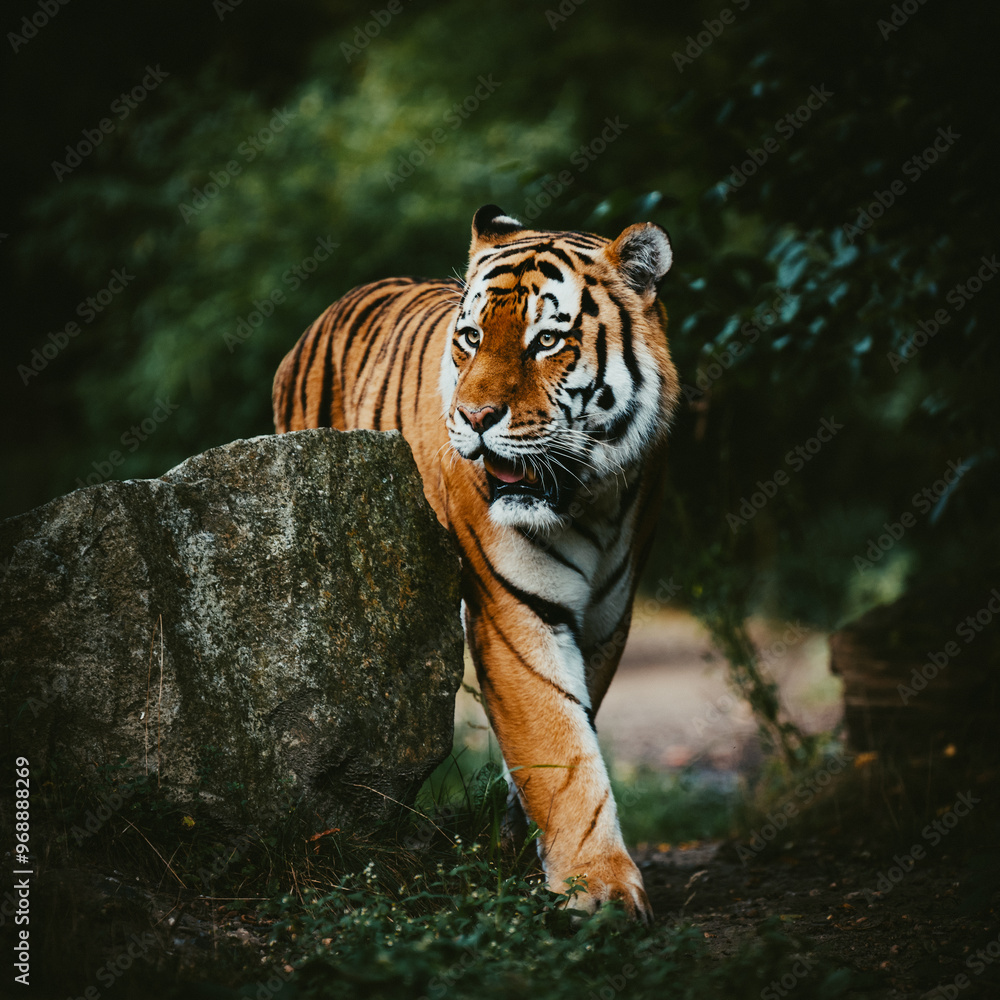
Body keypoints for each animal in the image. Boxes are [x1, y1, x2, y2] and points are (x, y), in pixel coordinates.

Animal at [273, 205, 679, 921]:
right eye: (470, 336)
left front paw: (528, 848)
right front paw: (599, 888)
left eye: (546, 341)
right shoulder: (516, 613)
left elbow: (569, 733)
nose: (474, 416)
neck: (591, 501)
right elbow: (561, 746)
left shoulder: (610, 617)